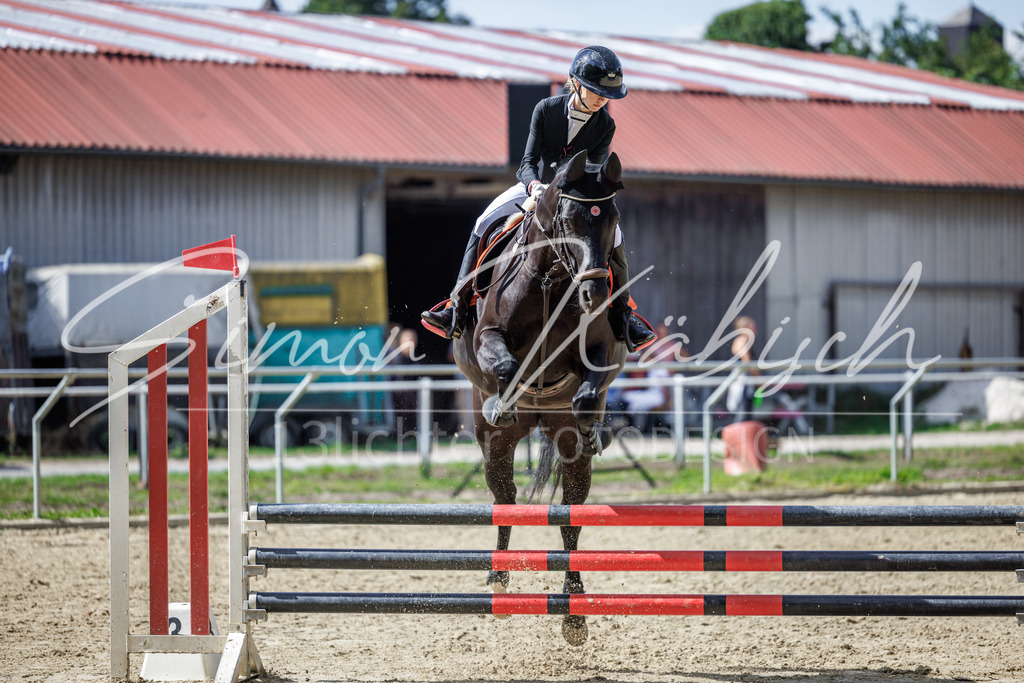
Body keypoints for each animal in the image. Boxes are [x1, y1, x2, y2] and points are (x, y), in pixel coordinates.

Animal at [453, 150, 628, 646]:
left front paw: (594, 431)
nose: (595, 294)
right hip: (494, 445)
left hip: (564, 446)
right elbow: (506, 366)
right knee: (505, 498)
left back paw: (574, 612)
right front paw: (505, 399)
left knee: (570, 513)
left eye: (612, 221)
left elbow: (588, 394)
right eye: (566, 220)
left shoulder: (601, 353)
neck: (552, 280)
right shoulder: (488, 338)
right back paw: (499, 579)